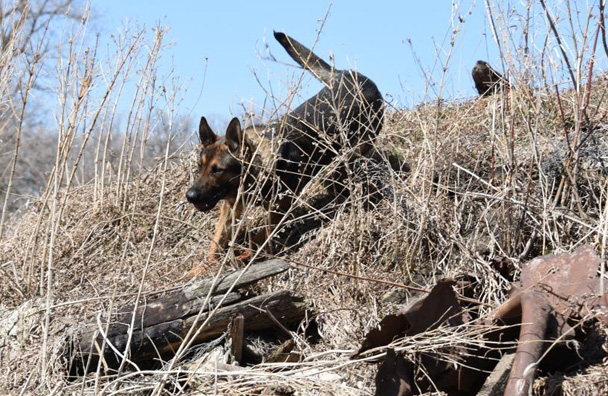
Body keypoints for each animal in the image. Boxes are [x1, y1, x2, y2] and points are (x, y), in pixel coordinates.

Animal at [186, 31, 384, 276]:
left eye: (217, 170)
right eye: (200, 166)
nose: (190, 196)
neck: (257, 169)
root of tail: (347, 74)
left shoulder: (281, 207)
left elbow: (261, 237)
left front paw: (246, 256)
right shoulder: (231, 206)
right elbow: (216, 241)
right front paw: (201, 269)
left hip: (356, 147)